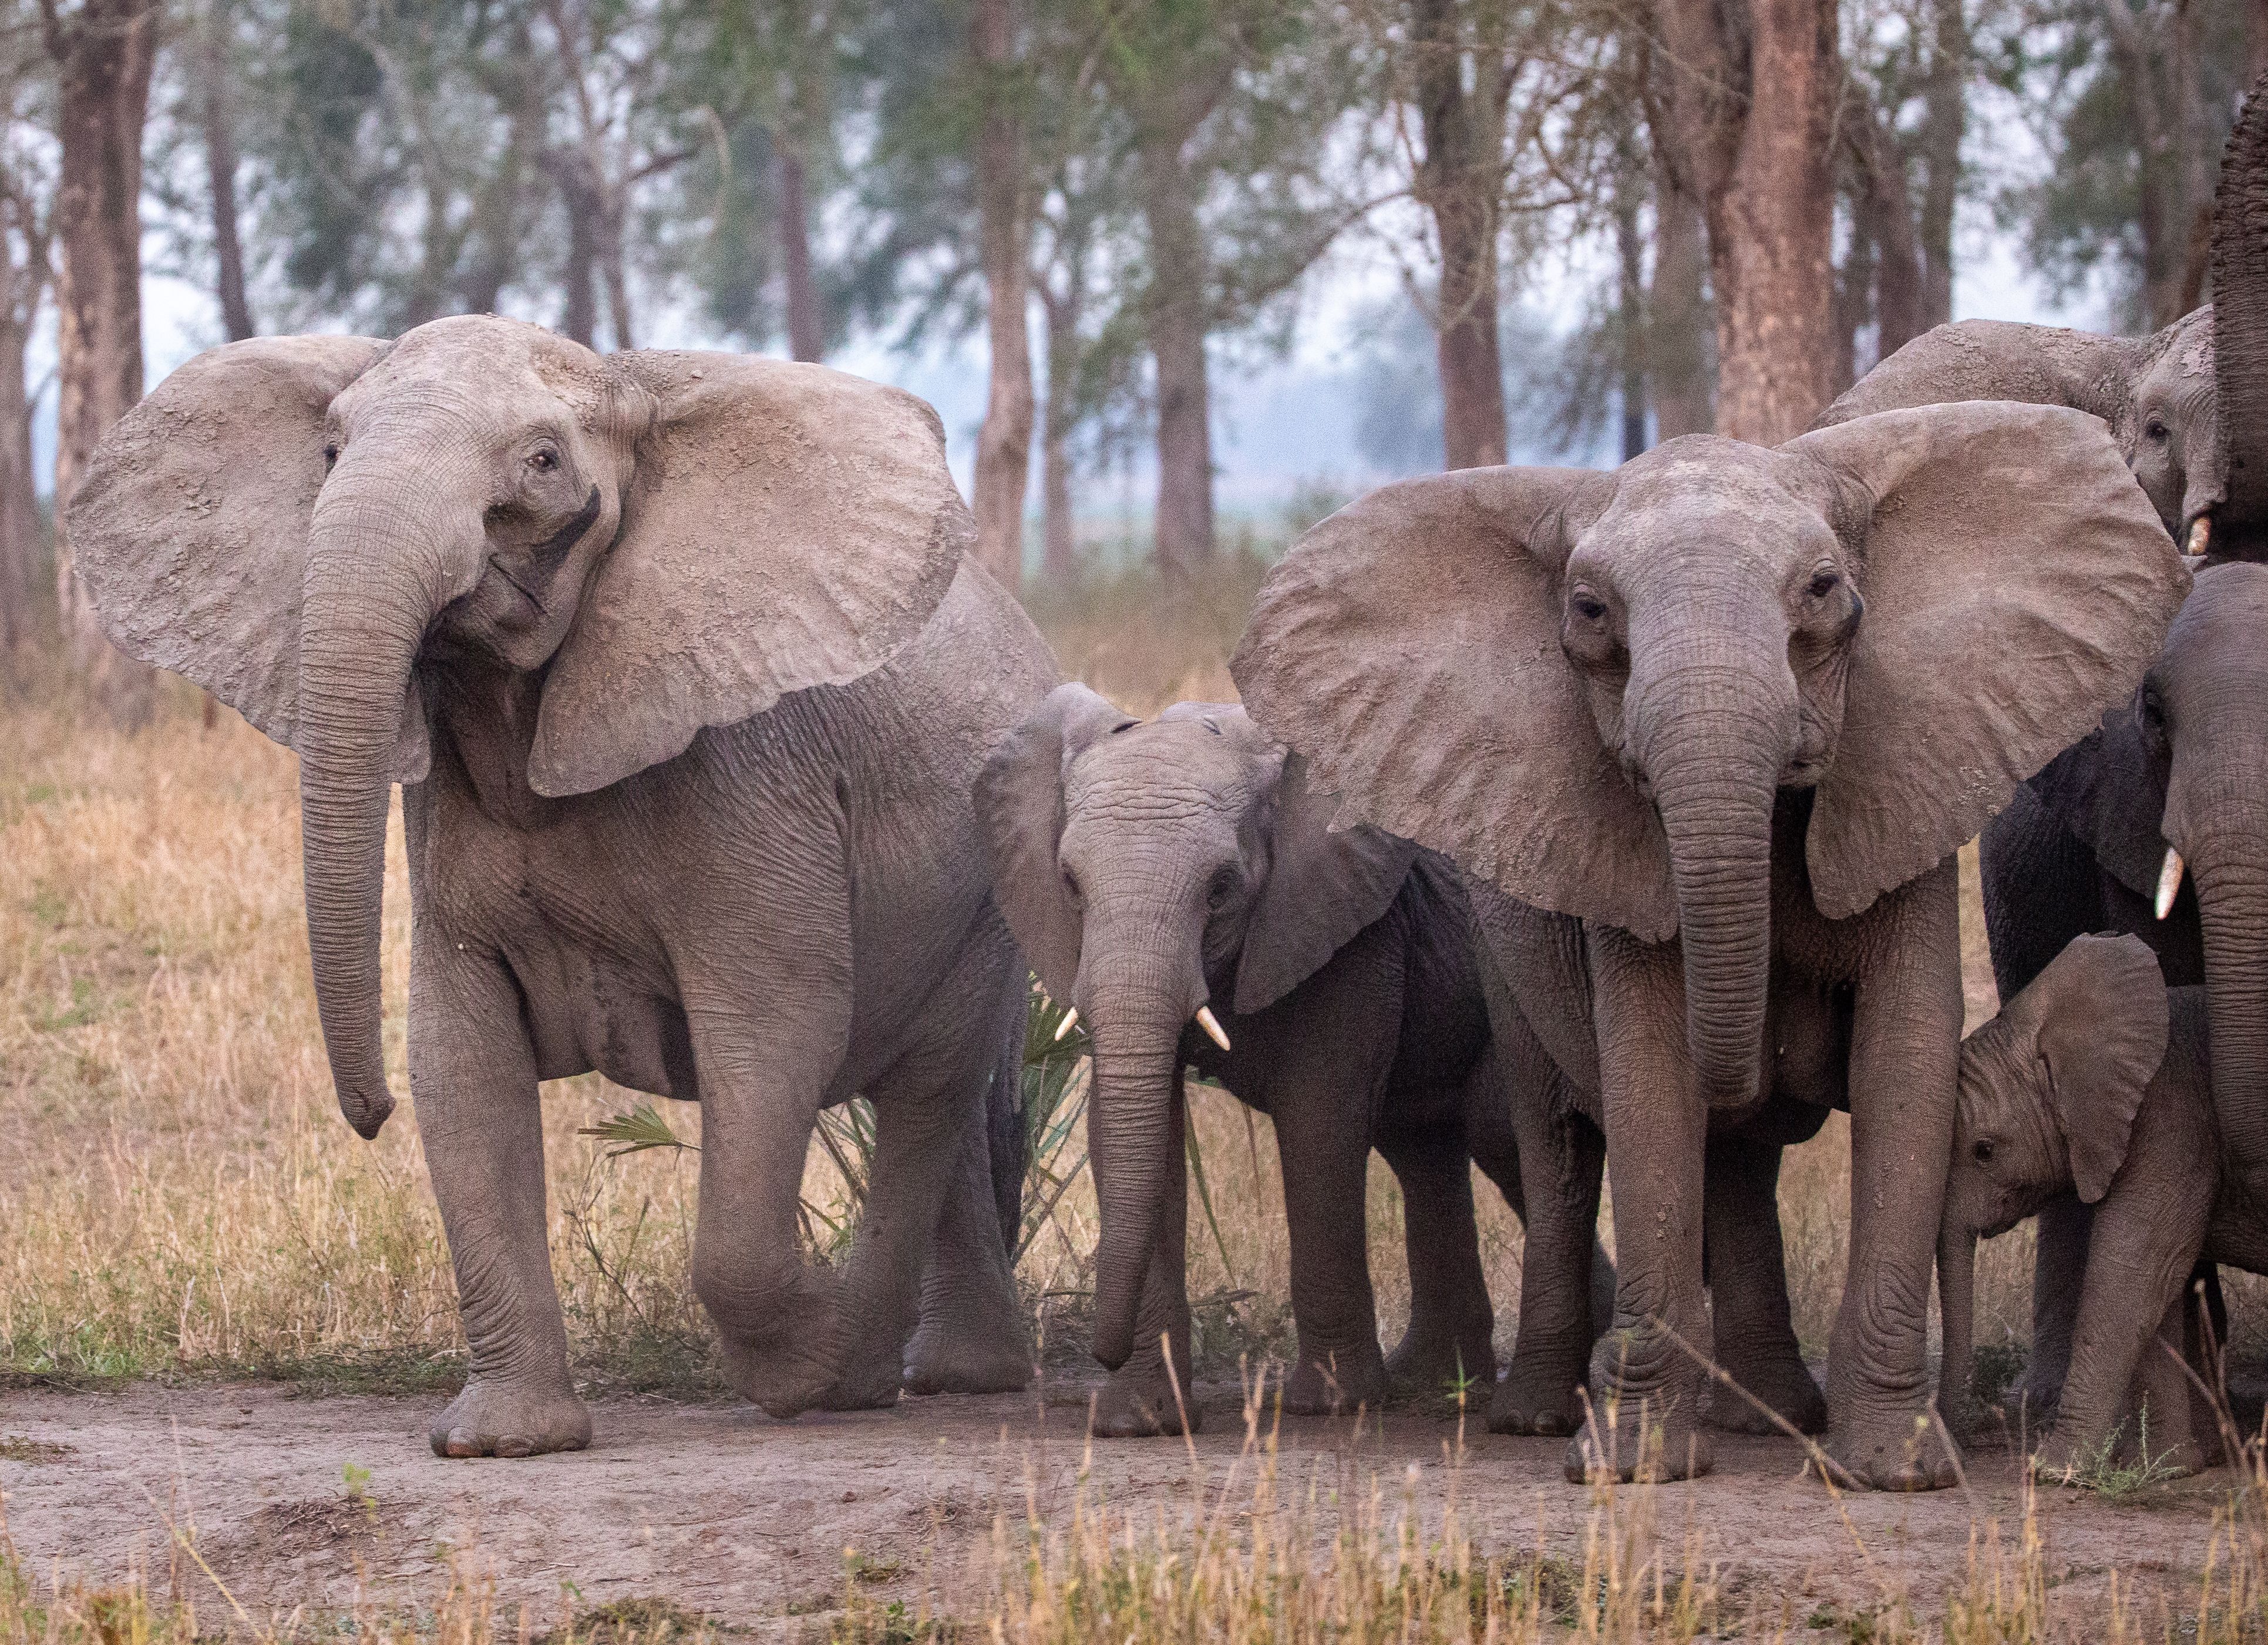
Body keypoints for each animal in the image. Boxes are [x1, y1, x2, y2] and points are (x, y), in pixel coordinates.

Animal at [66, 316, 1057, 1456]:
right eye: (328, 452)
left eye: (542, 463)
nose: (368, 1113)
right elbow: (461, 1060)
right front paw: (504, 1442)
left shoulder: (754, 779)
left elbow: (773, 1033)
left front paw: (814, 1363)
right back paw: (949, 1372)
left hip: (988, 891)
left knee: (926, 1089)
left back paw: (874, 1373)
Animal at [976, 685, 1615, 1437]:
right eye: (1070, 885)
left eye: (1221, 886)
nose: (1098, 1354)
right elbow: (1128, 1129)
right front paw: (1140, 1421)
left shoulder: (1353, 926)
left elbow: (1319, 1121)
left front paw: (1330, 1404)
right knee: (1421, 1146)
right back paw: (1433, 1380)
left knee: (1495, 1135)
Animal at [1231, 400, 2188, 1489]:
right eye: (1589, 612)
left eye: (1823, 591)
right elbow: (1648, 1073)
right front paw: (1632, 1464)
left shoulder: (1904, 771)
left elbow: (1902, 1059)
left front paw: (1893, 1470)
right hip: (1499, 942)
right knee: (1560, 1144)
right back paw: (1541, 1415)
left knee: (1733, 1161)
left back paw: (1765, 1414)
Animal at [1938, 934, 2253, 1480]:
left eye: (1984, 1150)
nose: (1953, 1460)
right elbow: (2160, 1284)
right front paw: (2163, 1466)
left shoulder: (2170, 1118)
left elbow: (2130, 1269)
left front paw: (2053, 1470)